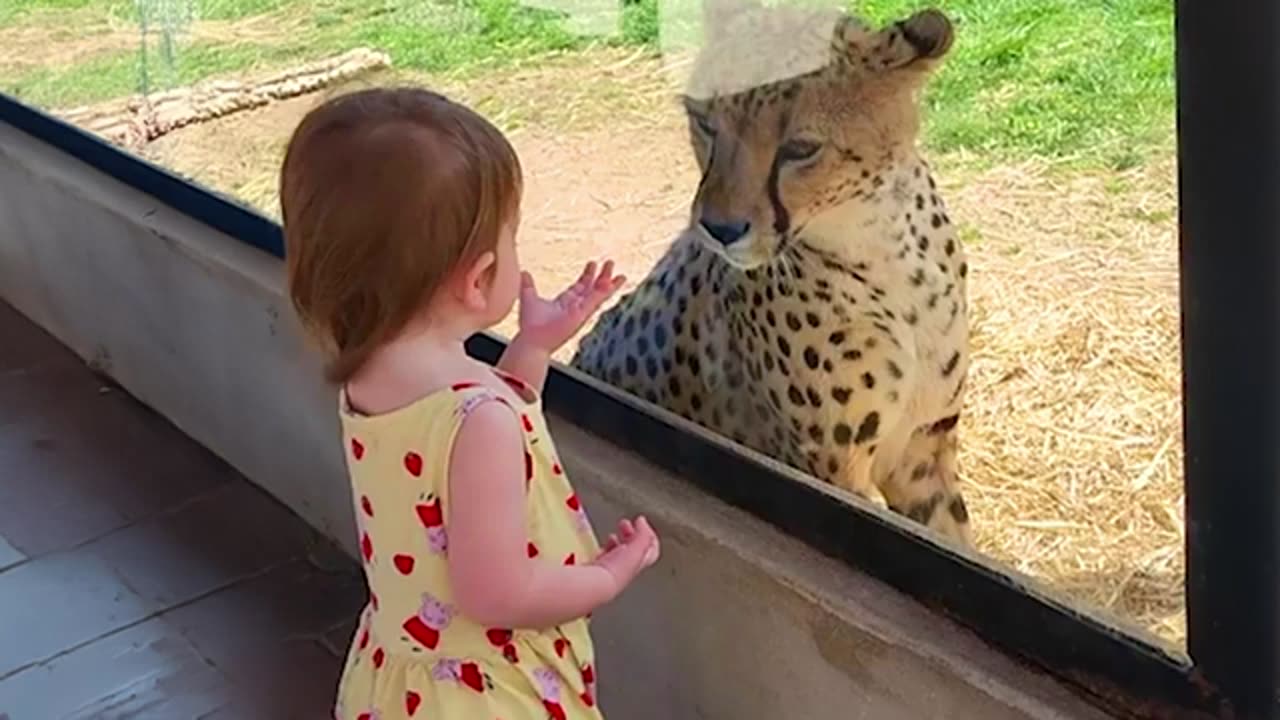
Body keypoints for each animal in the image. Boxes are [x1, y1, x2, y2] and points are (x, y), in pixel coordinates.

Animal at [570, 1, 967, 543]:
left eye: (800, 149)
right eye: (704, 122)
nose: (719, 228)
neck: (879, 246)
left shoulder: (920, 449)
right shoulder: (828, 472)